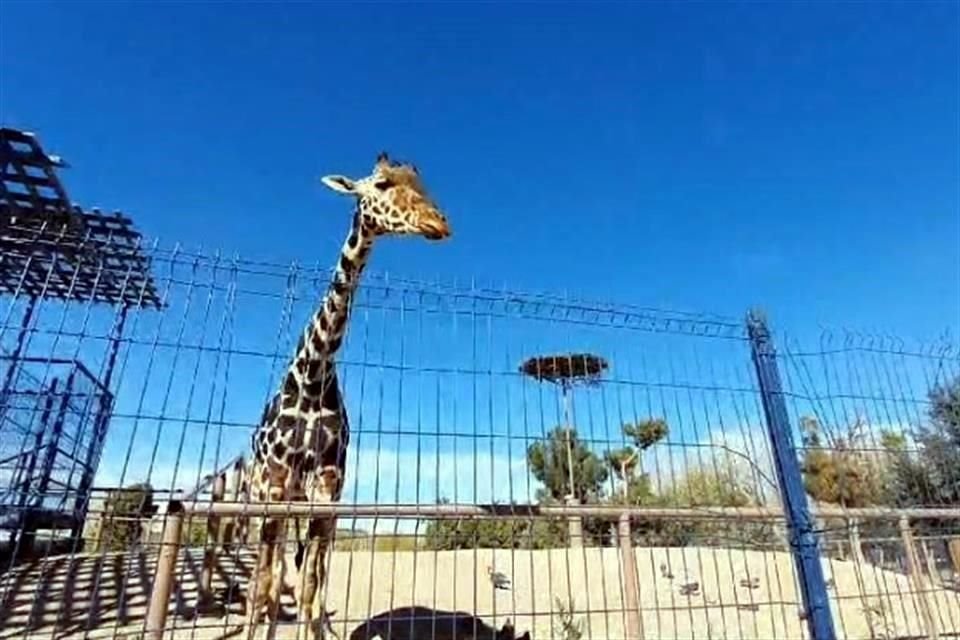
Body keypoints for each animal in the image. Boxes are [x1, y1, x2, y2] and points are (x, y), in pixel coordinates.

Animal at [240, 152, 452, 640]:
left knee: (295, 573)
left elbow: (309, 588)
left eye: (423, 184)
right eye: (381, 184)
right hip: (260, 498)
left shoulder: (328, 488)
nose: (439, 222)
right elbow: (268, 584)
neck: (313, 375)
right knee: (265, 578)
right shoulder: (276, 485)